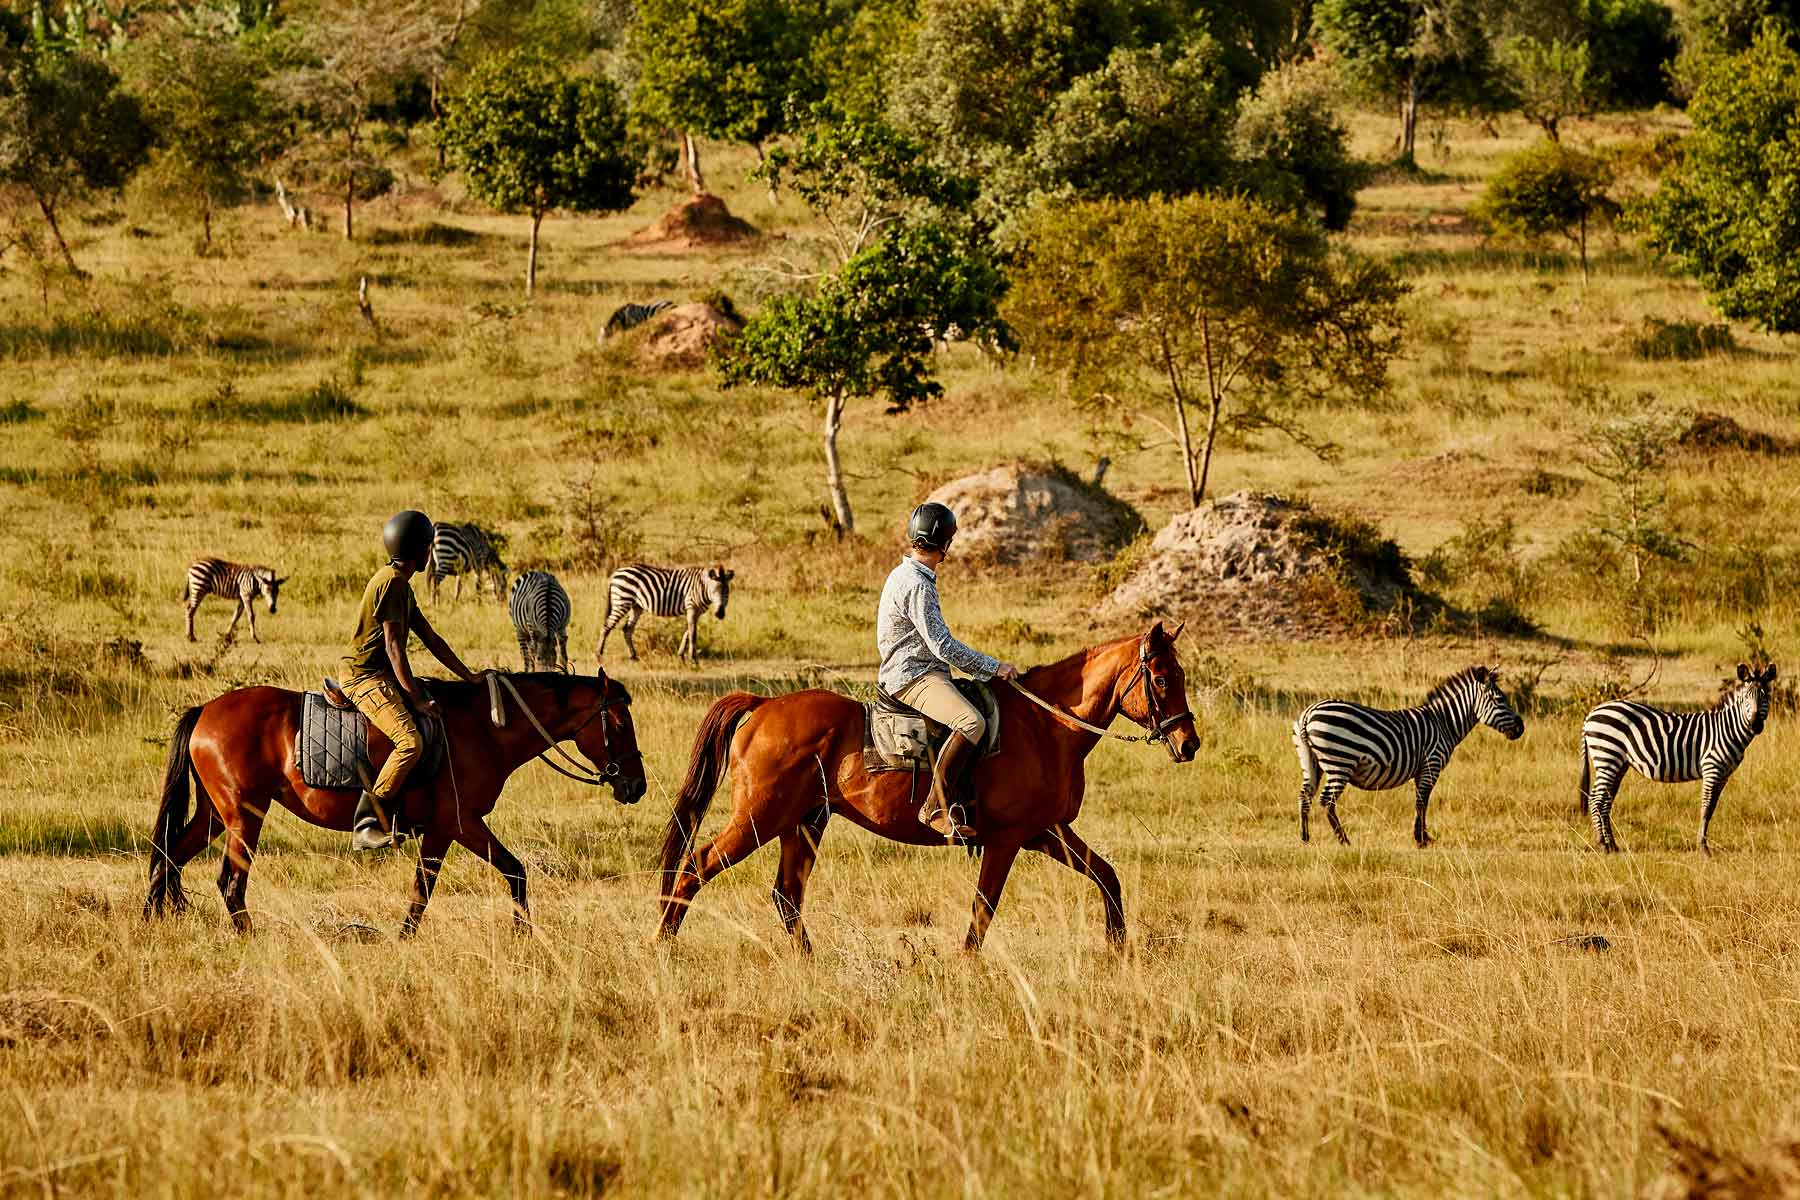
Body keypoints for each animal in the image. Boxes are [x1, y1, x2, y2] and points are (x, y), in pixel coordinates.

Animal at [144, 671, 646, 937]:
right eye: (621, 723)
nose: (636, 785)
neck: (484, 728)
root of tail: (205, 711)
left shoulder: (452, 828)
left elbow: (495, 874)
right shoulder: (456, 824)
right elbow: (439, 886)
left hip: (215, 814)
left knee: (168, 858)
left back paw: (150, 922)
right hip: (245, 815)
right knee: (230, 882)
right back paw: (250, 939)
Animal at [656, 622, 1200, 953]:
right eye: (1161, 678)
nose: (1188, 742)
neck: (1045, 727)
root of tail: (764, 705)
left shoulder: (1047, 832)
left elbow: (1107, 877)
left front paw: (1117, 945)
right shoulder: (1008, 840)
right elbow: (983, 909)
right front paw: (966, 965)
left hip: (803, 823)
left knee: (787, 895)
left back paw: (809, 963)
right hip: (759, 819)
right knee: (695, 868)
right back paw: (664, 946)